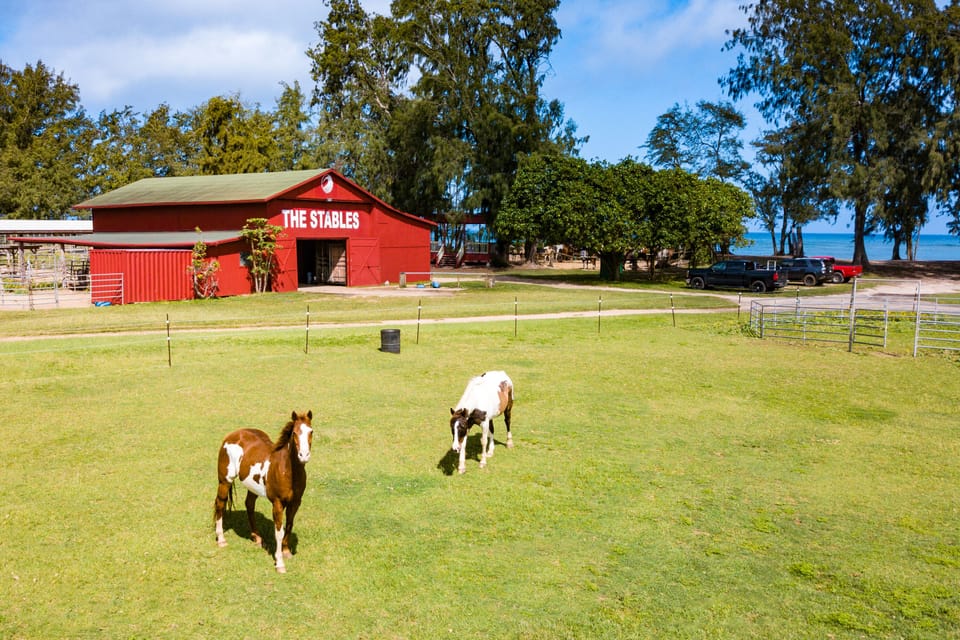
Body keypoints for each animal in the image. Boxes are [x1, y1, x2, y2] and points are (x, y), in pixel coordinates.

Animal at [214, 410, 314, 573]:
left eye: (311, 431)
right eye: (294, 433)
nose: (304, 456)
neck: (287, 470)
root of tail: (233, 435)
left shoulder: (295, 503)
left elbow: (289, 525)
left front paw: (286, 552)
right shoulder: (277, 504)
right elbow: (278, 532)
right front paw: (280, 563)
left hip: (252, 487)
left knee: (249, 505)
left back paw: (257, 538)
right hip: (224, 481)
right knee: (220, 504)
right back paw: (221, 539)